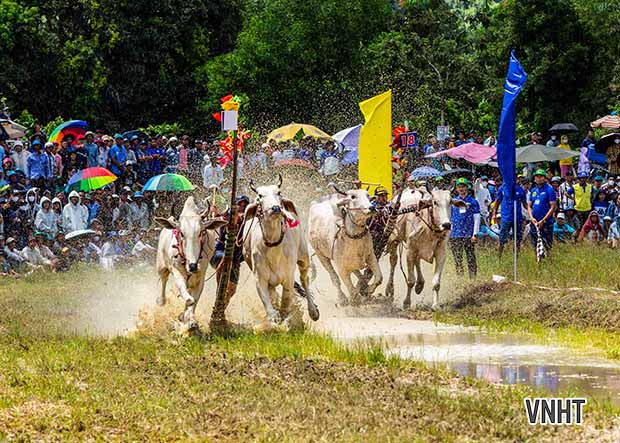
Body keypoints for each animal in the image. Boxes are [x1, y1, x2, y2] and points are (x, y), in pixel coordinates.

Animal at [155, 196, 227, 326]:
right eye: (182, 233)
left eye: (201, 232)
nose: (193, 266)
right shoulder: (177, 271)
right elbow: (188, 298)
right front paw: (186, 314)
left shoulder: (200, 276)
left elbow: (195, 300)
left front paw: (190, 319)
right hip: (161, 266)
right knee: (163, 280)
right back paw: (161, 301)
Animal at [243, 174, 319, 327]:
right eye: (260, 195)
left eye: (278, 192)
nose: (276, 208)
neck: (273, 248)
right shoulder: (260, 279)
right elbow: (269, 304)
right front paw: (274, 319)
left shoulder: (288, 277)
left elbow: (286, 300)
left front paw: (286, 317)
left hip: (304, 258)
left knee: (304, 280)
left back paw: (313, 311)